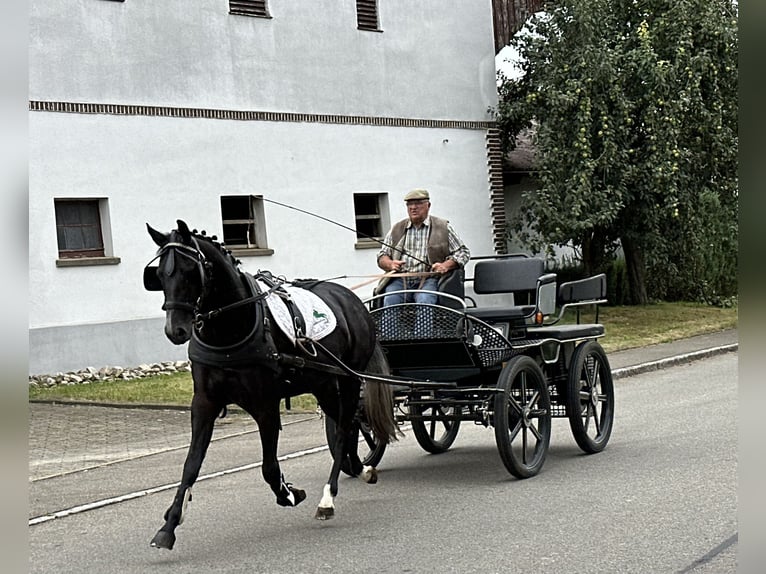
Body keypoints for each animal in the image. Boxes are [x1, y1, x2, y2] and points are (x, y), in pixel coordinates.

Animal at [142, 222, 402, 552]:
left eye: (191, 272)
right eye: (160, 275)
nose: (175, 330)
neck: (231, 328)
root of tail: (353, 301)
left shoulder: (265, 403)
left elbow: (268, 466)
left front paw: (288, 492)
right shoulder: (204, 403)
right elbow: (191, 465)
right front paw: (170, 524)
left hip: (347, 377)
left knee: (345, 426)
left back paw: (328, 497)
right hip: (323, 382)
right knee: (350, 422)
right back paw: (360, 467)